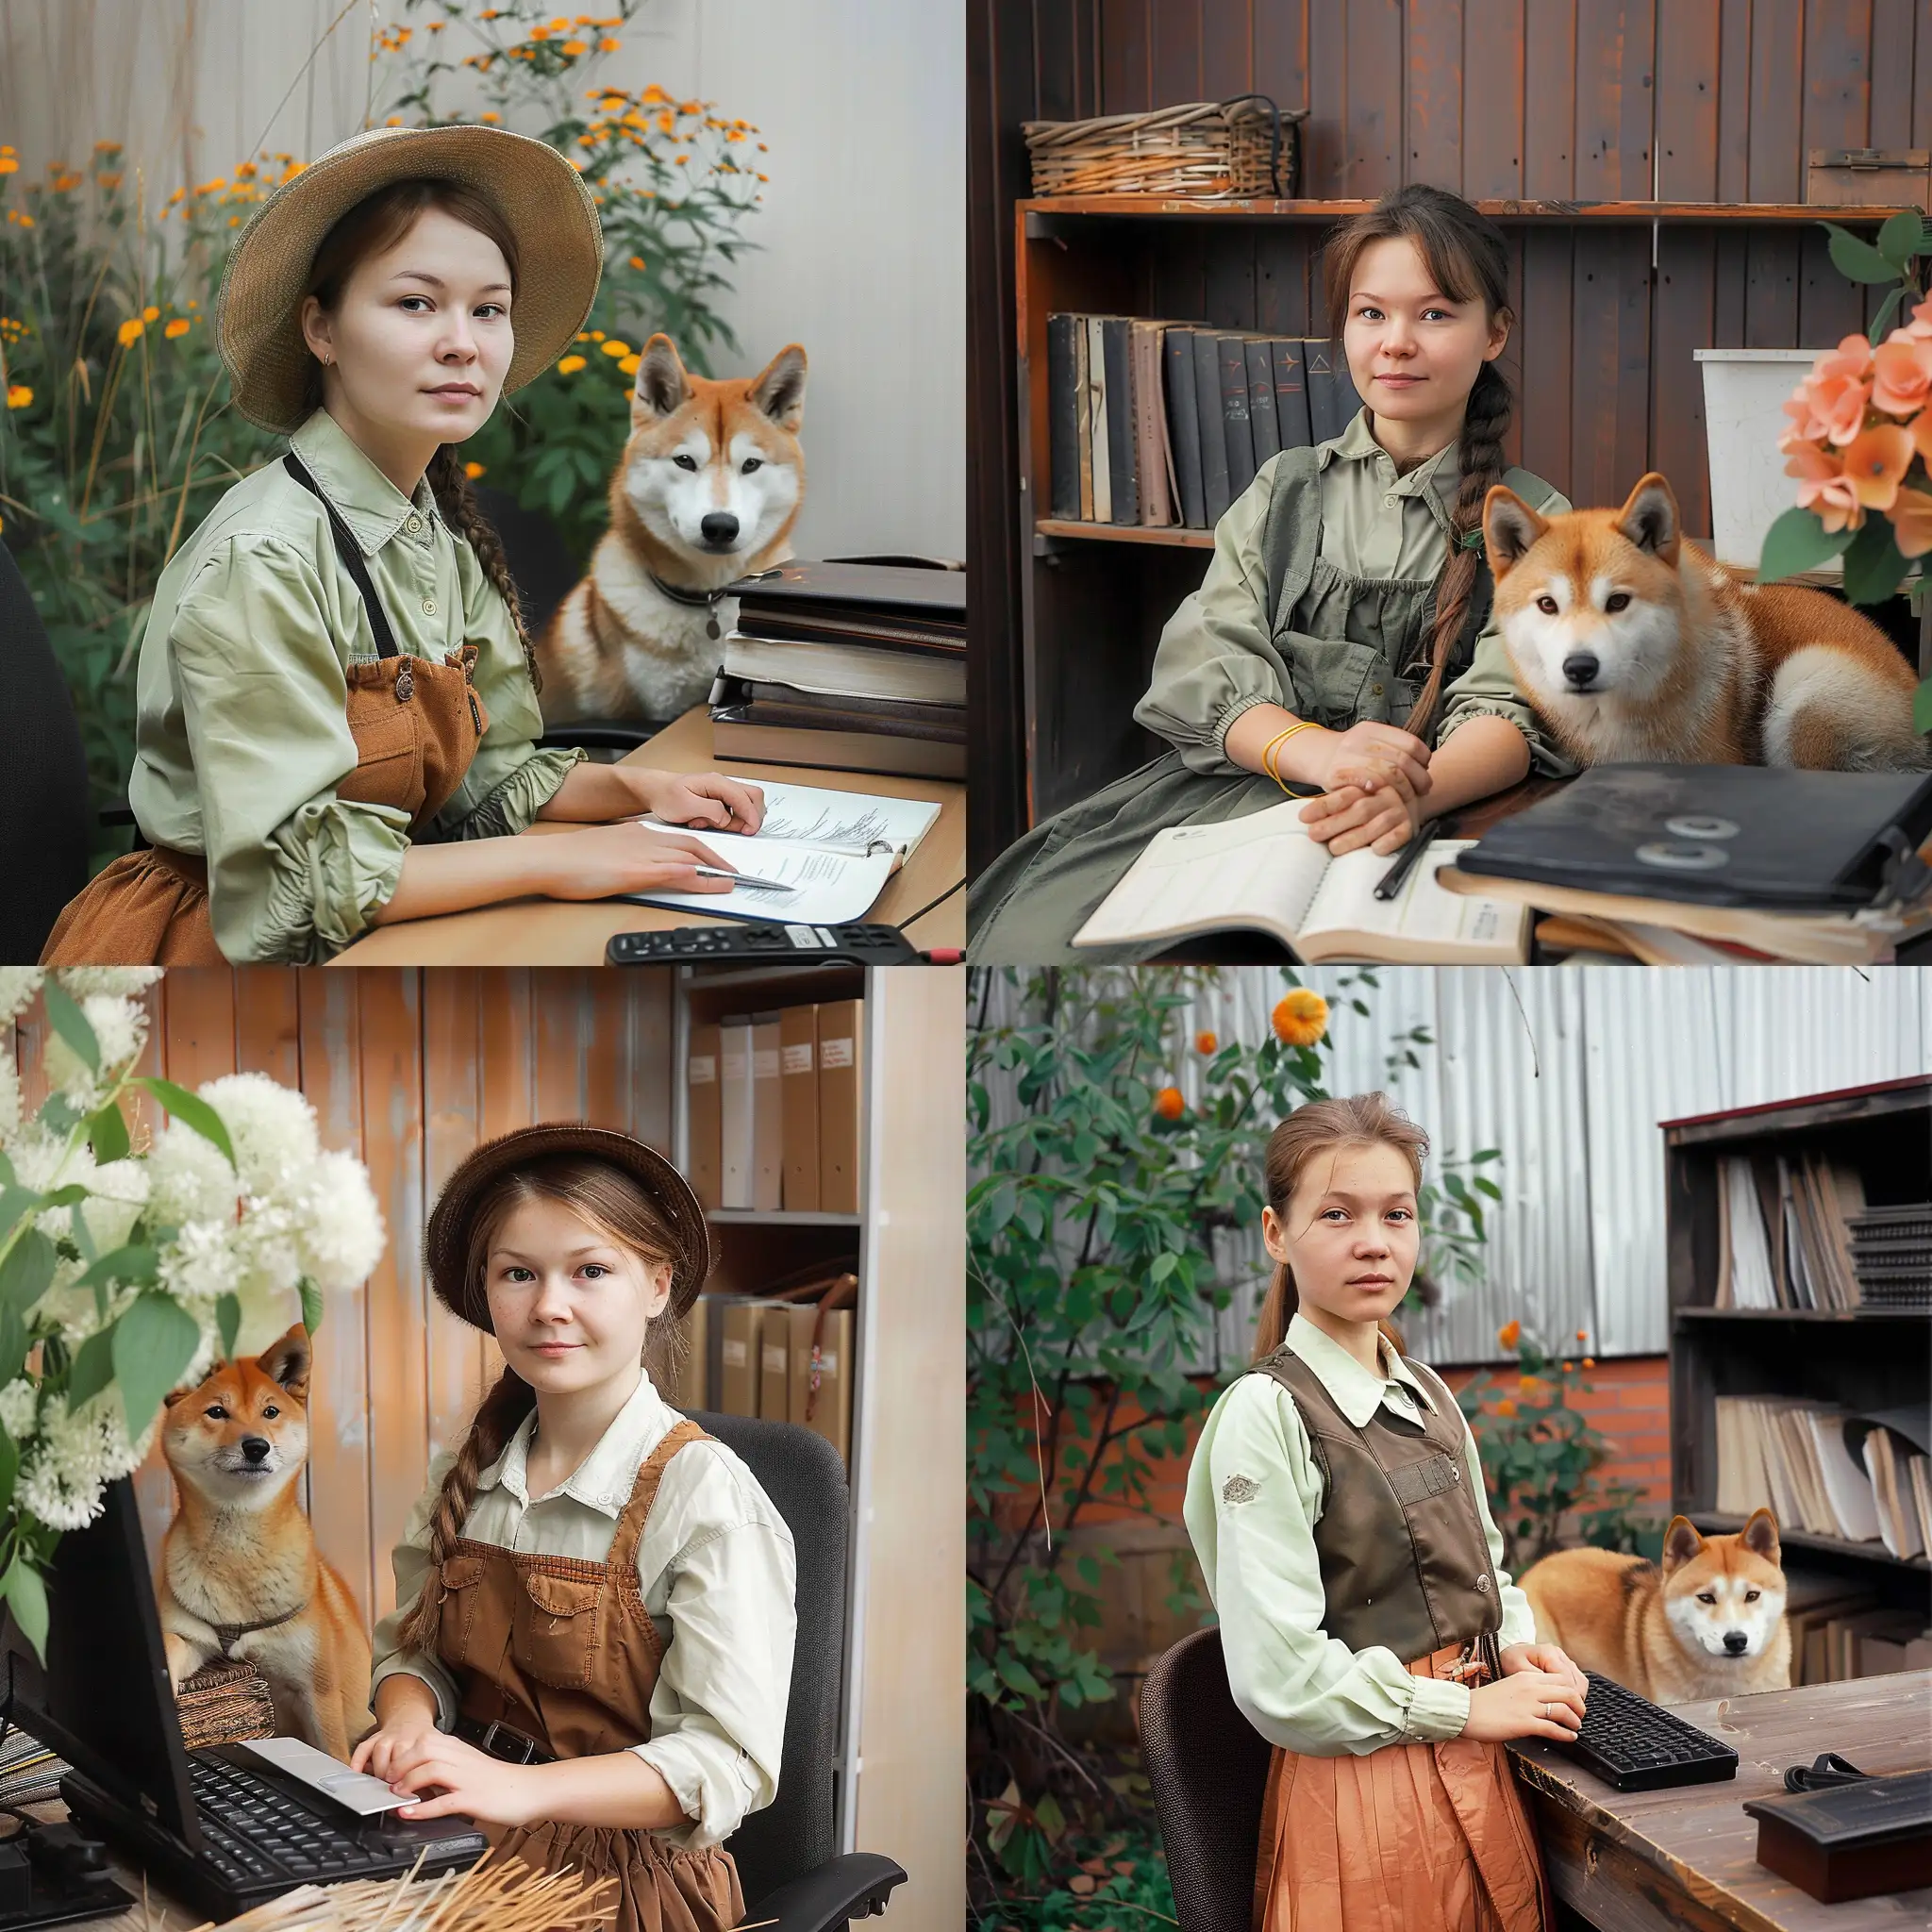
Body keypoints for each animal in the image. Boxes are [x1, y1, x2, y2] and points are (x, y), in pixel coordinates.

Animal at [158, 1329, 373, 1769]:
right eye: (217, 1412)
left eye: (270, 1412)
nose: (256, 1446)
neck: (239, 1557)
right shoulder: (190, 1636)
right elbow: (169, 1646)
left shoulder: (317, 1691)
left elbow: (334, 1754)